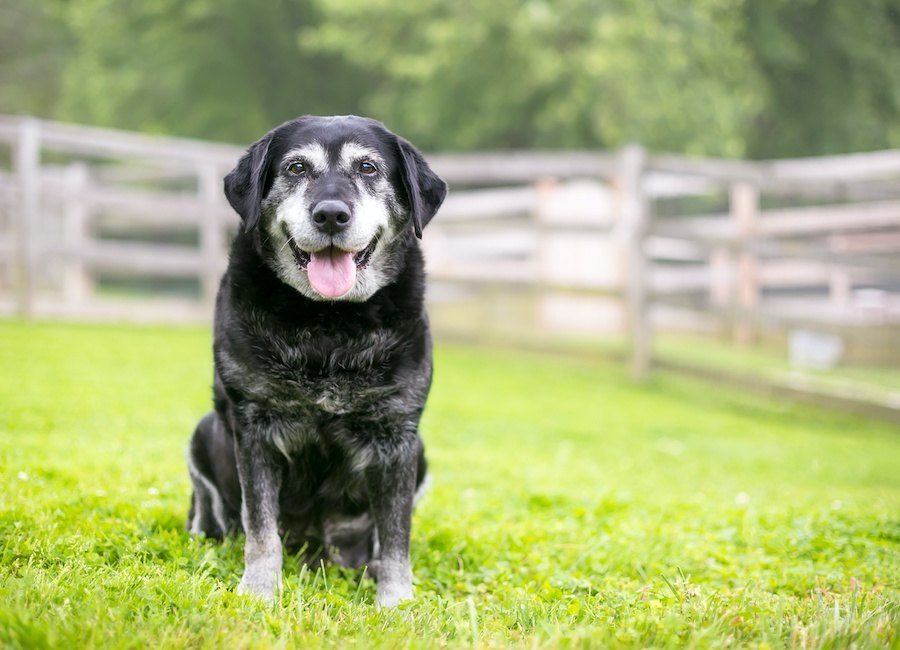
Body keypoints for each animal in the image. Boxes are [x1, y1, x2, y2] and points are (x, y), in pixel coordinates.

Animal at [185, 114, 446, 604]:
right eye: (296, 168)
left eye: (367, 167)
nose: (330, 214)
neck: (329, 323)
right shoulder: (255, 427)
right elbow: (261, 528)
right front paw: (259, 590)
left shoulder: (398, 435)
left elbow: (396, 535)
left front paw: (396, 601)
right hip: (204, 432)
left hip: (419, 453)